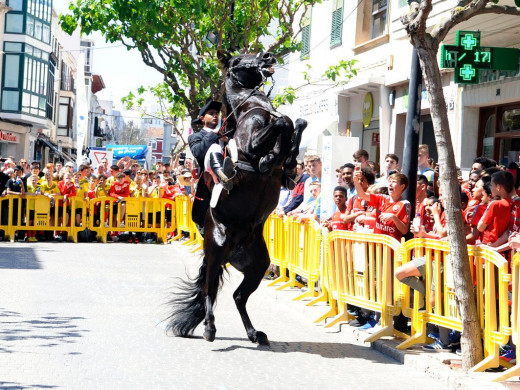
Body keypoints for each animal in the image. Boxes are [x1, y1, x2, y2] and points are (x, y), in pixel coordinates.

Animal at [165, 51, 306, 344]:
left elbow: (296, 123)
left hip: (258, 265)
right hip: (217, 249)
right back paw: (209, 328)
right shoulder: (250, 144)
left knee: (238, 296)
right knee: (209, 289)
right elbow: (282, 122)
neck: (254, 106)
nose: (268, 56)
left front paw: (287, 163)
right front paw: (269, 158)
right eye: (240, 59)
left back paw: (254, 333)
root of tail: (235, 246)